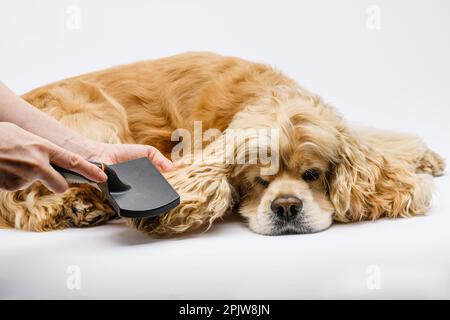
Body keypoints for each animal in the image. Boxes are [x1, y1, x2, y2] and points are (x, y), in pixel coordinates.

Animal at [0, 52, 444, 236]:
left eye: (312, 174)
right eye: (258, 182)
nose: (286, 207)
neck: (268, 95)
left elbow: (381, 138)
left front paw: (426, 157)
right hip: (97, 119)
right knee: (29, 198)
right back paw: (77, 207)